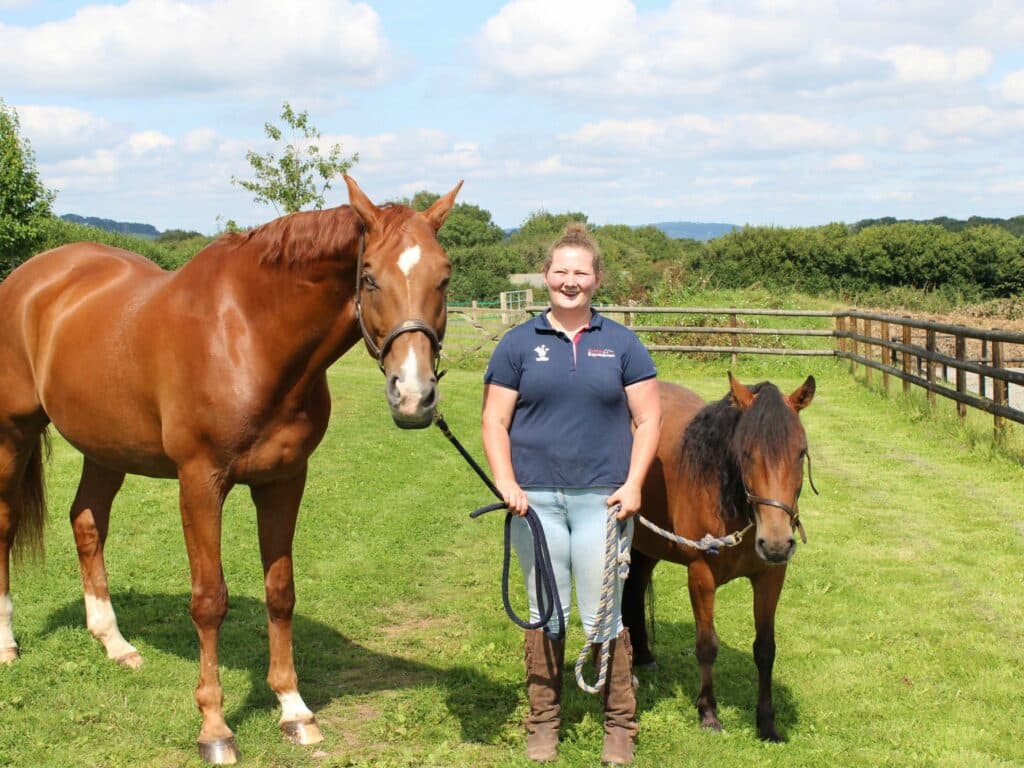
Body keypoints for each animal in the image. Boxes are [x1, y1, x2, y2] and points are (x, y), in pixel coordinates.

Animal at [0, 177, 460, 765]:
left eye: (443, 277)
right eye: (370, 277)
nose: (415, 397)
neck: (248, 335)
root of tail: (31, 279)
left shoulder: (284, 481)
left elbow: (280, 591)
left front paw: (294, 710)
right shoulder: (201, 482)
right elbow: (209, 601)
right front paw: (215, 727)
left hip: (105, 448)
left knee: (87, 523)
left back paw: (115, 642)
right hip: (15, 434)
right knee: (8, 524)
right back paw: (9, 643)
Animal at [622, 376, 815, 741]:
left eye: (800, 453)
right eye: (747, 453)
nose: (776, 544)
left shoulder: (770, 577)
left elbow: (765, 649)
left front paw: (767, 723)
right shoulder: (701, 577)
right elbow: (707, 645)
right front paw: (708, 714)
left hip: (648, 544)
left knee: (634, 589)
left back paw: (642, 655)